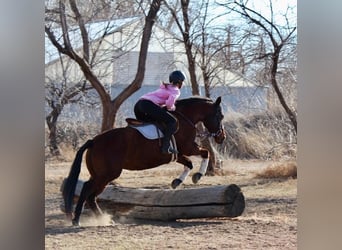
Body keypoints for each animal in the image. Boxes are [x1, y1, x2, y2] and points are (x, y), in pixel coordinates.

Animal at [61, 95, 227, 225]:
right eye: (220, 116)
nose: (222, 137)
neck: (185, 118)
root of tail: (93, 141)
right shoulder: (188, 148)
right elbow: (205, 153)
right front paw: (198, 176)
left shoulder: (177, 154)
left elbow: (189, 163)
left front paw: (177, 182)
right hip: (106, 175)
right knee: (87, 190)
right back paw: (77, 219)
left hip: (99, 175)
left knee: (91, 195)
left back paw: (102, 219)